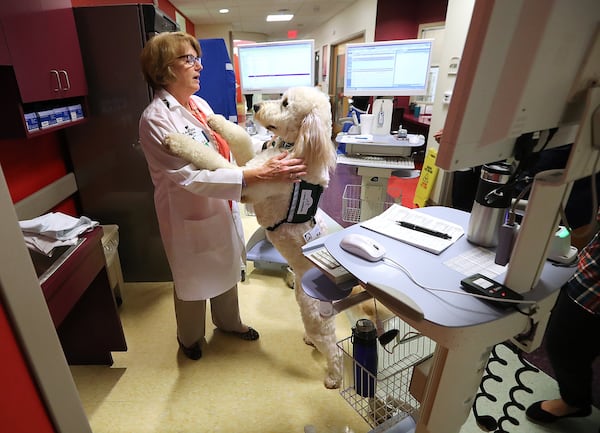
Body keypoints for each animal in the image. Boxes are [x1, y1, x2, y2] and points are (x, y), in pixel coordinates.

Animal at [164, 86, 342, 386]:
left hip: (316, 314)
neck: (298, 147)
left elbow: (214, 161)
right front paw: (216, 121)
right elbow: (242, 138)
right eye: (281, 97)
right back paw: (310, 343)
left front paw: (176, 141)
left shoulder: (247, 180)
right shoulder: (255, 165)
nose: (256, 107)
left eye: (285, 104)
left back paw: (333, 378)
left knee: (332, 346)